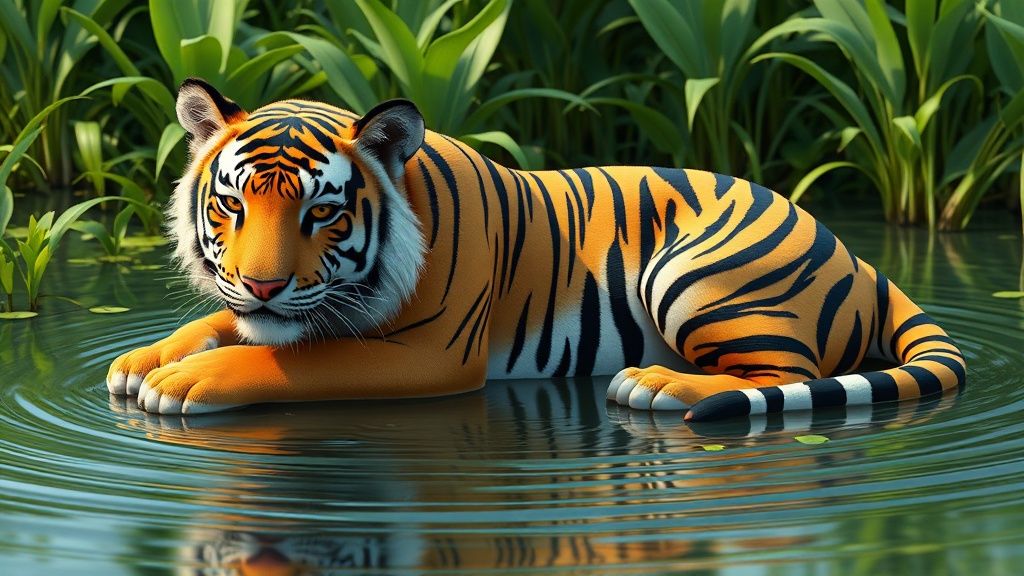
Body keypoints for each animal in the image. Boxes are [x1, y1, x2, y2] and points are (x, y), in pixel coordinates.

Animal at [105, 78, 966, 422]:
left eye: (322, 213)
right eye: (232, 204)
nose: (264, 286)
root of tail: (859, 255)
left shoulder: (434, 356)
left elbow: (290, 360)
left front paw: (182, 381)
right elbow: (224, 326)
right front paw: (142, 360)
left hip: (697, 273)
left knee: (786, 373)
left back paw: (655, 383)